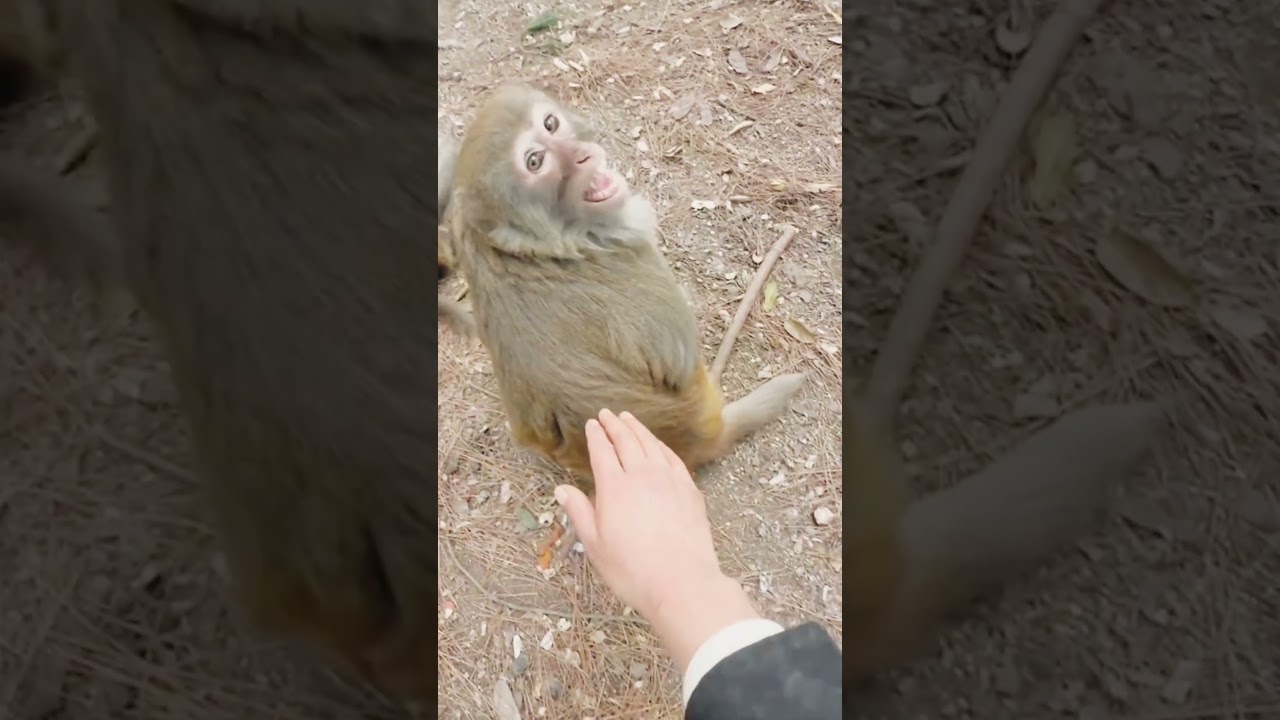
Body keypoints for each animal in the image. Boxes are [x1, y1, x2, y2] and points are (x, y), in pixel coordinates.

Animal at [446, 83, 806, 493]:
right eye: (535, 161)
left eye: (551, 124)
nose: (581, 154)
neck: (535, 247)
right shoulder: (638, 262)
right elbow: (679, 362)